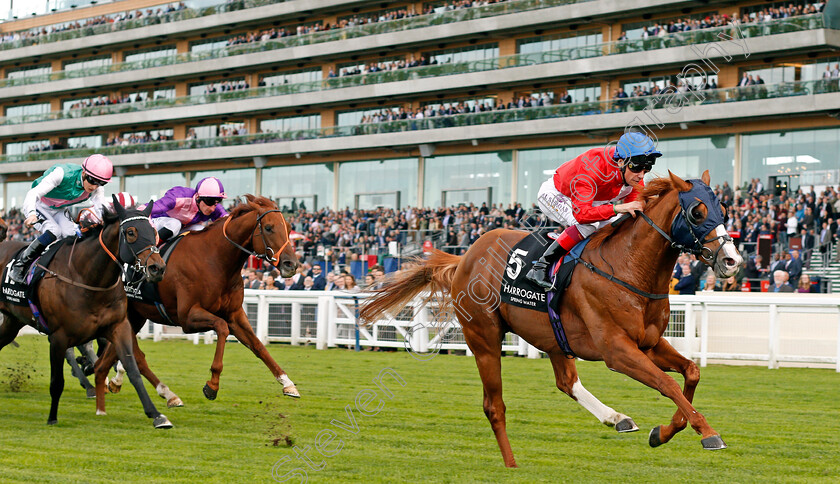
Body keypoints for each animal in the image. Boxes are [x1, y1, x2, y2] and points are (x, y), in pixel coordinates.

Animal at [0, 198, 172, 428]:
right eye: (131, 232)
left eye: (154, 232)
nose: (157, 268)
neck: (88, 278)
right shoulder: (59, 336)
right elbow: (58, 380)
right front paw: (52, 417)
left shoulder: (118, 327)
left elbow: (133, 369)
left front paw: (157, 415)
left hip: (11, 322)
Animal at [93, 193, 302, 412]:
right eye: (269, 228)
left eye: (289, 227)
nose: (291, 264)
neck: (215, 260)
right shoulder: (188, 317)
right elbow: (222, 328)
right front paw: (212, 385)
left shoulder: (235, 315)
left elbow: (258, 345)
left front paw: (288, 383)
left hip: (135, 315)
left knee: (116, 353)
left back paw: (114, 382)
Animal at [360, 172, 740, 466]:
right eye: (697, 212)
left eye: (722, 209)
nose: (733, 260)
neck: (628, 267)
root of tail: (465, 257)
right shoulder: (617, 351)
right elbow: (668, 384)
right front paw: (708, 433)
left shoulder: (648, 343)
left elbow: (690, 372)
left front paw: (663, 432)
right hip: (484, 338)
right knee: (494, 405)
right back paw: (512, 464)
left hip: (553, 337)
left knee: (566, 382)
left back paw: (617, 418)